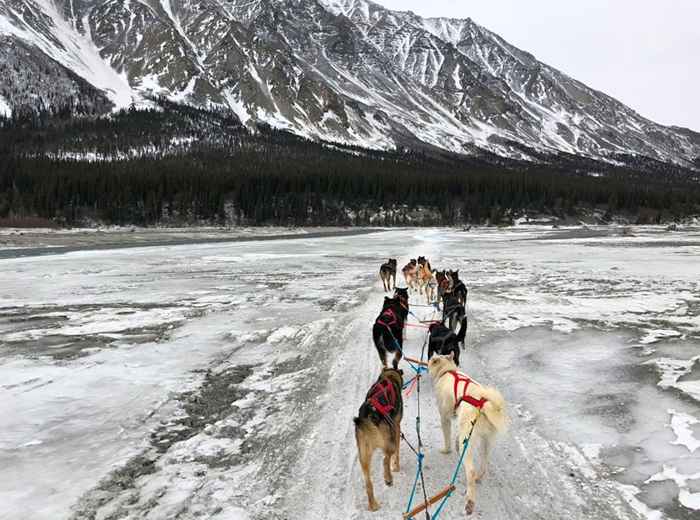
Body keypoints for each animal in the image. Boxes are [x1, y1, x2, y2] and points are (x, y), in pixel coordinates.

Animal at [356, 368, 404, 510]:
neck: (388, 378)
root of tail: (369, 415)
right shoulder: (396, 427)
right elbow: (397, 453)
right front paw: (396, 466)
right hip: (389, 442)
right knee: (385, 460)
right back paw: (388, 478)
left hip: (364, 456)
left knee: (368, 483)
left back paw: (373, 505)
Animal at [430, 354, 506, 516]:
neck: (447, 370)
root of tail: (483, 403)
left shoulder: (444, 417)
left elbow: (447, 436)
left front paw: (446, 449)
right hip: (485, 441)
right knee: (484, 463)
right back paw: (478, 476)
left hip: (469, 442)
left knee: (470, 471)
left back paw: (470, 502)